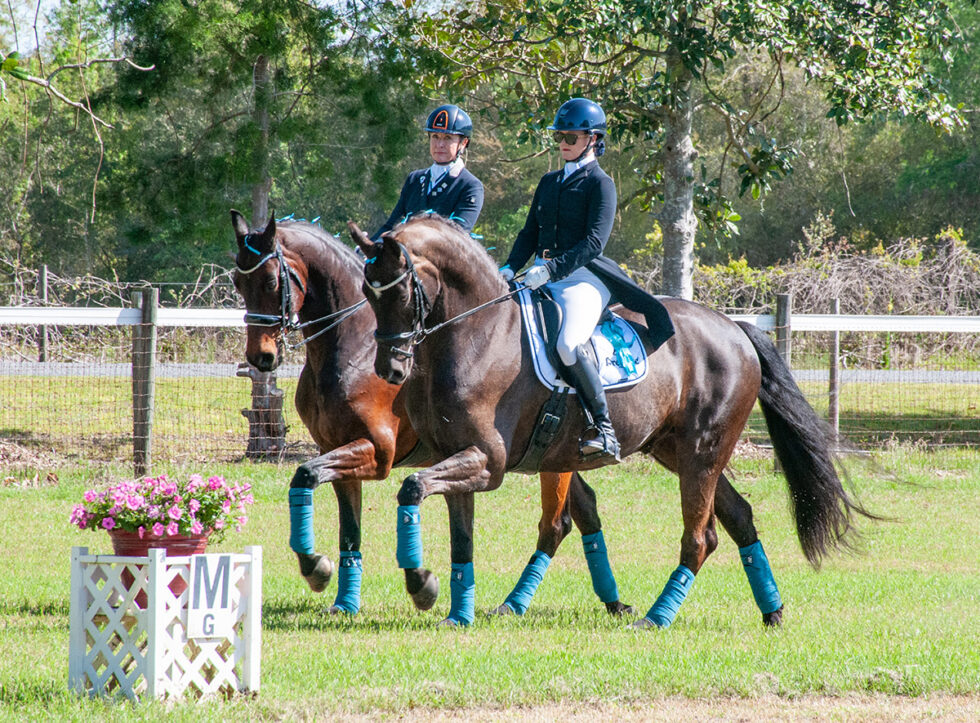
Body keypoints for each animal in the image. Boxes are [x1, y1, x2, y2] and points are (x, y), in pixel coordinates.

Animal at [230, 210, 634, 616]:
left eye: (270, 281)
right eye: (237, 281)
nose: (261, 357)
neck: (352, 348)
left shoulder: (376, 452)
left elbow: (315, 479)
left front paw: (325, 570)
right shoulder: (335, 448)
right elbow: (338, 515)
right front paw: (338, 592)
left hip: (553, 457)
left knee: (556, 523)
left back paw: (518, 603)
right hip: (555, 455)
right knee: (584, 510)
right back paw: (613, 601)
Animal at [352, 214, 875, 628]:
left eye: (401, 291)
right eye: (366, 293)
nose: (390, 369)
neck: (478, 334)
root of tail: (735, 329)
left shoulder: (487, 461)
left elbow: (411, 488)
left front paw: (420, 583)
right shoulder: (459, 457)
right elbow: (459, 535)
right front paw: (455, 612)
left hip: (702, 453)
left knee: (700, 537)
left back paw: (657, 617)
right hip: (677, 451)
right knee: (739, 517)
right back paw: (772, 611)